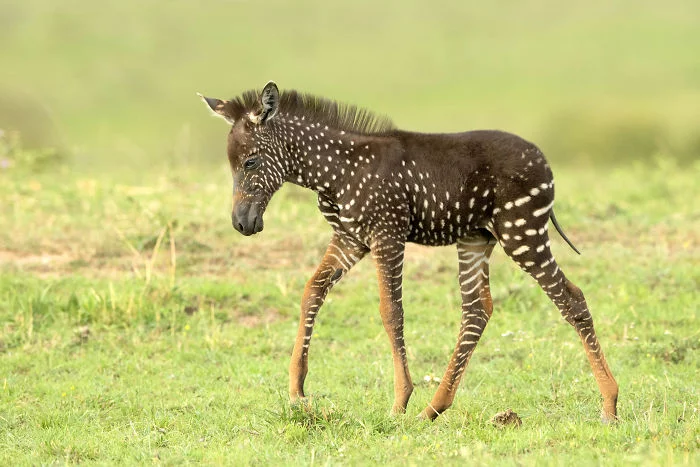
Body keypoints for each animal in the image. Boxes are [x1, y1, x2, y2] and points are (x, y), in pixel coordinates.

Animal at [197, 81, 616, 424]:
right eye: (231, 165)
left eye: (250, 161)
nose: (242, 223)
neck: (335, 171)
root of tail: (545, 164)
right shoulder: (350, 239)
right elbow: (311, 290)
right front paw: (297, 388)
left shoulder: (387, 234)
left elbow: (390, 311)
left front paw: (400, 400)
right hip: (477, 238)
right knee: (477, 310)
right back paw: (434, 408)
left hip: (523, 232)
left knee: (571, 298)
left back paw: (610, 404)